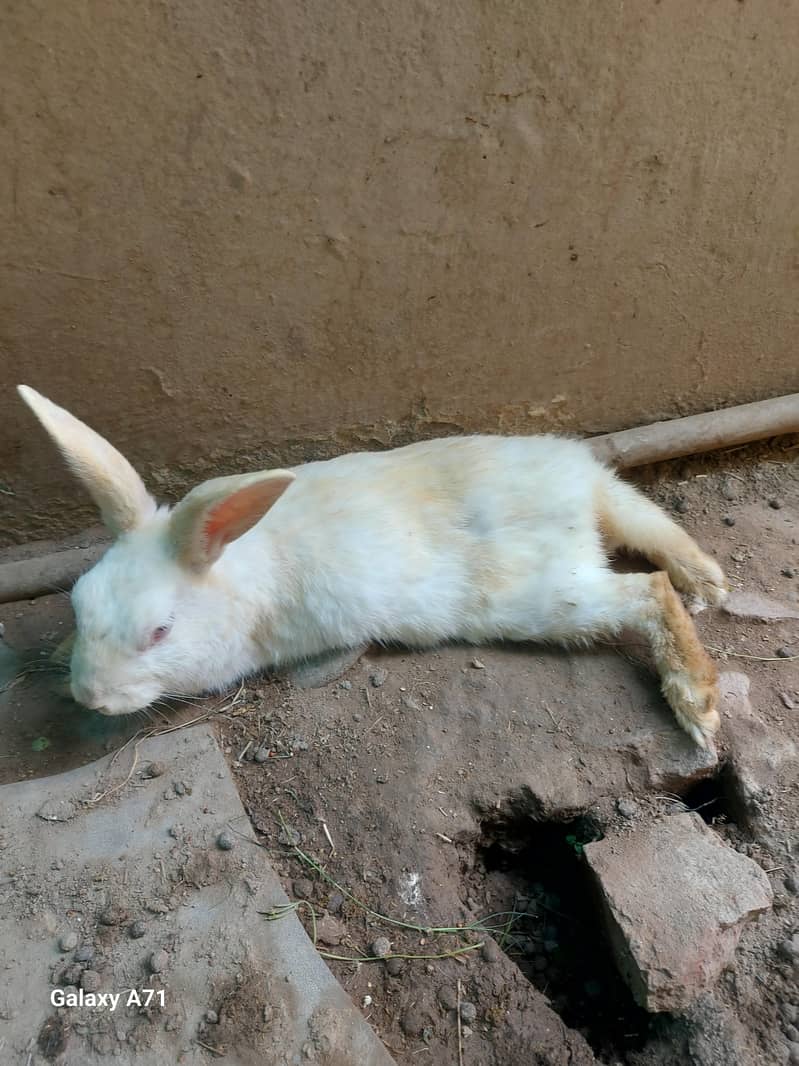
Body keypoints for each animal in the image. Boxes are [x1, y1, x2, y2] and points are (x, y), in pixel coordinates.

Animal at [18, 384, 728, 746]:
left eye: (159, 632)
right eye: (78, 604)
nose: (89, 695)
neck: (236, 576)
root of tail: (581, 489)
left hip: (546, 596)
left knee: (649, 590)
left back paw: (698, 706)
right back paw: (707, 583)